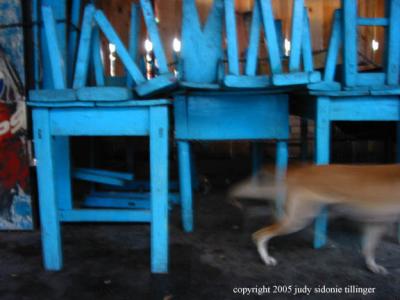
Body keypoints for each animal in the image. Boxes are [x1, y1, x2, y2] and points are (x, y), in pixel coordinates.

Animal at [230, 165, 400, 276]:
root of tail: (297, 171)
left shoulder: (376, 223)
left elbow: (369, 249)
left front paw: (372, 266)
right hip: (297, 219)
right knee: (259, 235)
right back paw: (266, 259)